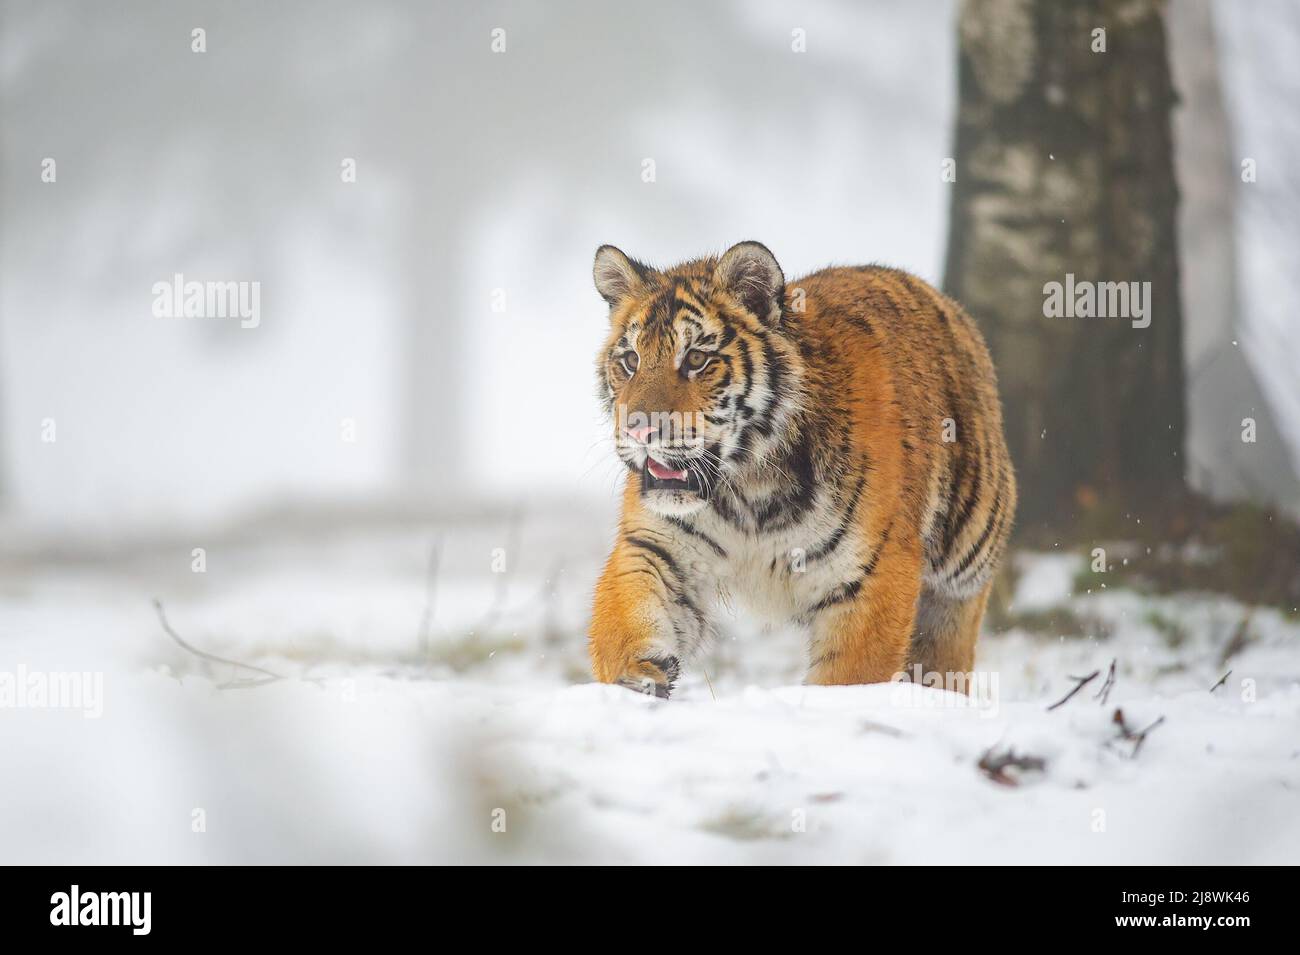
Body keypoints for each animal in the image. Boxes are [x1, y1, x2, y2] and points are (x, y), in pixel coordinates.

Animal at [590, 242, 1013, 696]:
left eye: (697, 359)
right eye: (630, 359)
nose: (637, 429)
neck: (748, 488)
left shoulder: (872, 576)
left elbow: (849, 678)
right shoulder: (656, 547)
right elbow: (626, 619)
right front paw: (637, 677)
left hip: (967, 553)